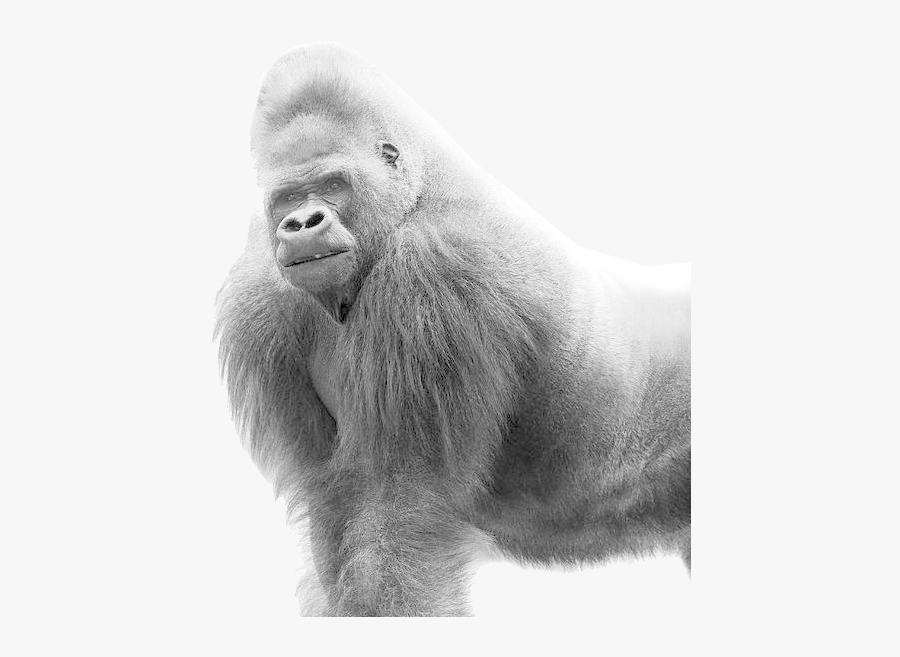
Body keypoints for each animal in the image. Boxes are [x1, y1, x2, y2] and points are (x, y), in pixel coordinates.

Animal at [216, 43, 690, 616]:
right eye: (287, 197)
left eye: (333, 184)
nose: (303, 223)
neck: (415, 194)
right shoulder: (260, 298)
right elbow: (333, 508)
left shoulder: (433, 272)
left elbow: (402, 508)